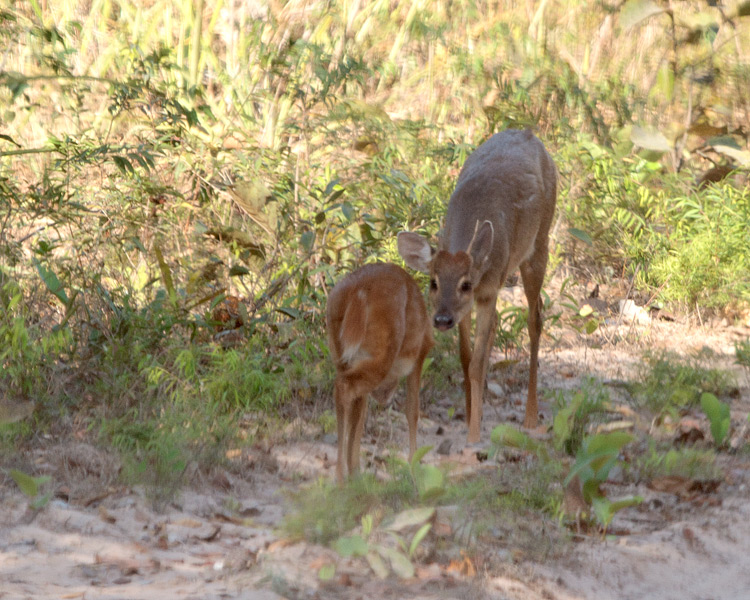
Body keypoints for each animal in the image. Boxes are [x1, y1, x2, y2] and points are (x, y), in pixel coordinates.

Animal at [324, 264, 434, 480]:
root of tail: (359, 291)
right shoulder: (420, 354)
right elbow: (412, 410)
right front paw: (413, 466)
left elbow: (359, 417)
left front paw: (357, 473)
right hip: (383, 352)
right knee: (344, 387)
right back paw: (340, 477)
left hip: (341, 353)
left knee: (346, 396)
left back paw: (347, 475)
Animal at [400, 129, 560, 442]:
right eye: (433, 282)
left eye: (466, 284)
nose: (441, 319)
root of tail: (530, 134)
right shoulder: (467, 307)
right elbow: (466, 357)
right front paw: (469, 416)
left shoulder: (487, 292)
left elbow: (476, 362)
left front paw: (474, 434)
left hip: (539, 244)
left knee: (535, 319)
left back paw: (530, 417)